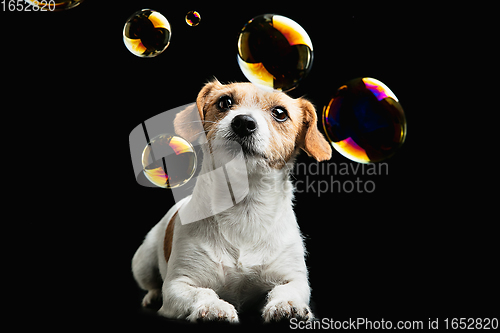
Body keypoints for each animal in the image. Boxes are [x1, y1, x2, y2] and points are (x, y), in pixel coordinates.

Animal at [132, 80, 332, 322]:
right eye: (224, 102)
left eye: (280, 113)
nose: (243, 122)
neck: (244, 209)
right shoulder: (178, 285)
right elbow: (202, 292)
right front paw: (212, 306)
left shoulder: (293, 278)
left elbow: (285, 290)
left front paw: (286, 304)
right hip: (142, 262)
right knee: (152, 284)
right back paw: (152, 297)